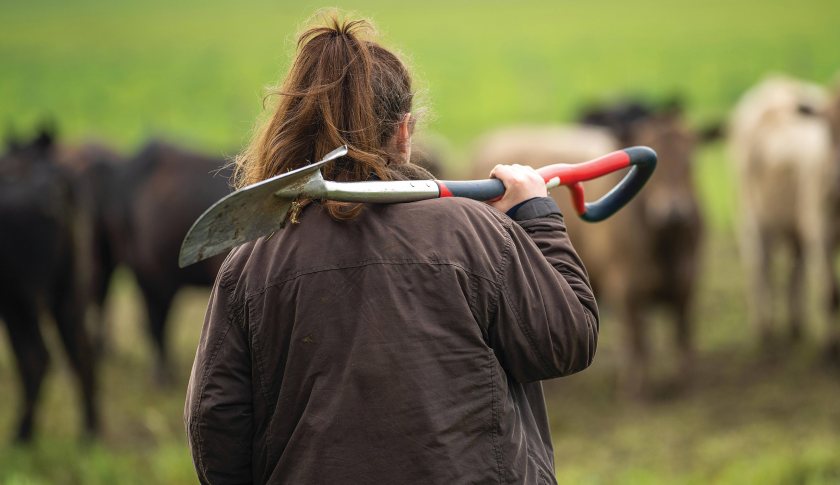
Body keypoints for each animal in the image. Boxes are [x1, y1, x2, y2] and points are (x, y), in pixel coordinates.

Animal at [0, 127, 99, 438]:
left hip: (21, 298)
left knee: (37, 357)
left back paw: (22, 432)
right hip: (67, 291)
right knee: (81, 350)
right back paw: (89, 430)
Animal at [472, 105, 704, 398]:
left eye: (690, 162)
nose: (673, 211)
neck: (665, 243)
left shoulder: (687, 284)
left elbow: (682, 338)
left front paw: (687, 388)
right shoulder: (626, 290)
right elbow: (637, 345)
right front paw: (636, 393)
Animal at [728, 75, 840, 356]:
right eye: (830, 129)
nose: (838, 176)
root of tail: (773, 81)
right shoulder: (820, 231)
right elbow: (831, 294)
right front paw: (829, 347)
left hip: (793, 224)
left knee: (793, 270)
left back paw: (795, 325)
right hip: (752, 217)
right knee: (760, 266)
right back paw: (765, 328)